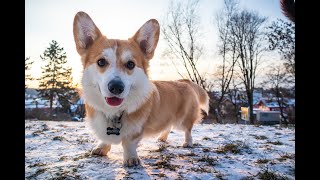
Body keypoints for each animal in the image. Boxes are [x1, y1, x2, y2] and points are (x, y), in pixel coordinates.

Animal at [72, 10, 210, 166]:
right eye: (101, 62)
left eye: (131, 64)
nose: (116, 87)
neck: (114, 112)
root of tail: (184, 81)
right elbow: (105, 138)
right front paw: (102, 147)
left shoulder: (135, 130)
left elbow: (129, 143)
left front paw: (131, 158)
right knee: (168, 126)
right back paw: (162, 138)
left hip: (183, 119)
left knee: (188, 129)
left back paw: (188, 142)